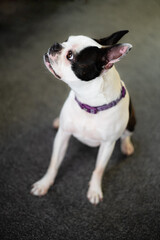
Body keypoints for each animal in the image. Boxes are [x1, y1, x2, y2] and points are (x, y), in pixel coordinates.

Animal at [31, 30, 136, 204]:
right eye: (66, 40)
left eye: (70, 56)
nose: (55, 45)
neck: (89, 105)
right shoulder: (63, 135)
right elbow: (54, 163)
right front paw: (44, 183)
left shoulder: (107, 145)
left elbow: (99, 169)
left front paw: (94, 190)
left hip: (132, 121)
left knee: (127, 134)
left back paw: (126, 146)